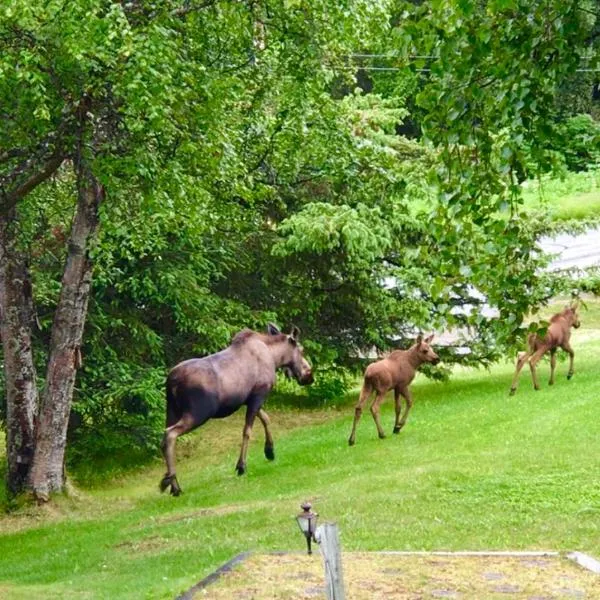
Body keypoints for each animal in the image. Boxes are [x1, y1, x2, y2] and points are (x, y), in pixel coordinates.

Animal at [159, 326, 314, 494]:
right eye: (302, 350)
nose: (309, 377)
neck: (275, 357)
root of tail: (171, 381)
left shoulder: (249, 399)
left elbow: (266, 419)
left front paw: (270, 451)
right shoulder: (259, 394)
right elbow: (247, 431)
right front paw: (241, 466)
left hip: (171, 411)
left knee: (164, 437)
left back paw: (172, 483)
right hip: (198, 413)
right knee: (170, 434)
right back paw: (173, 485)